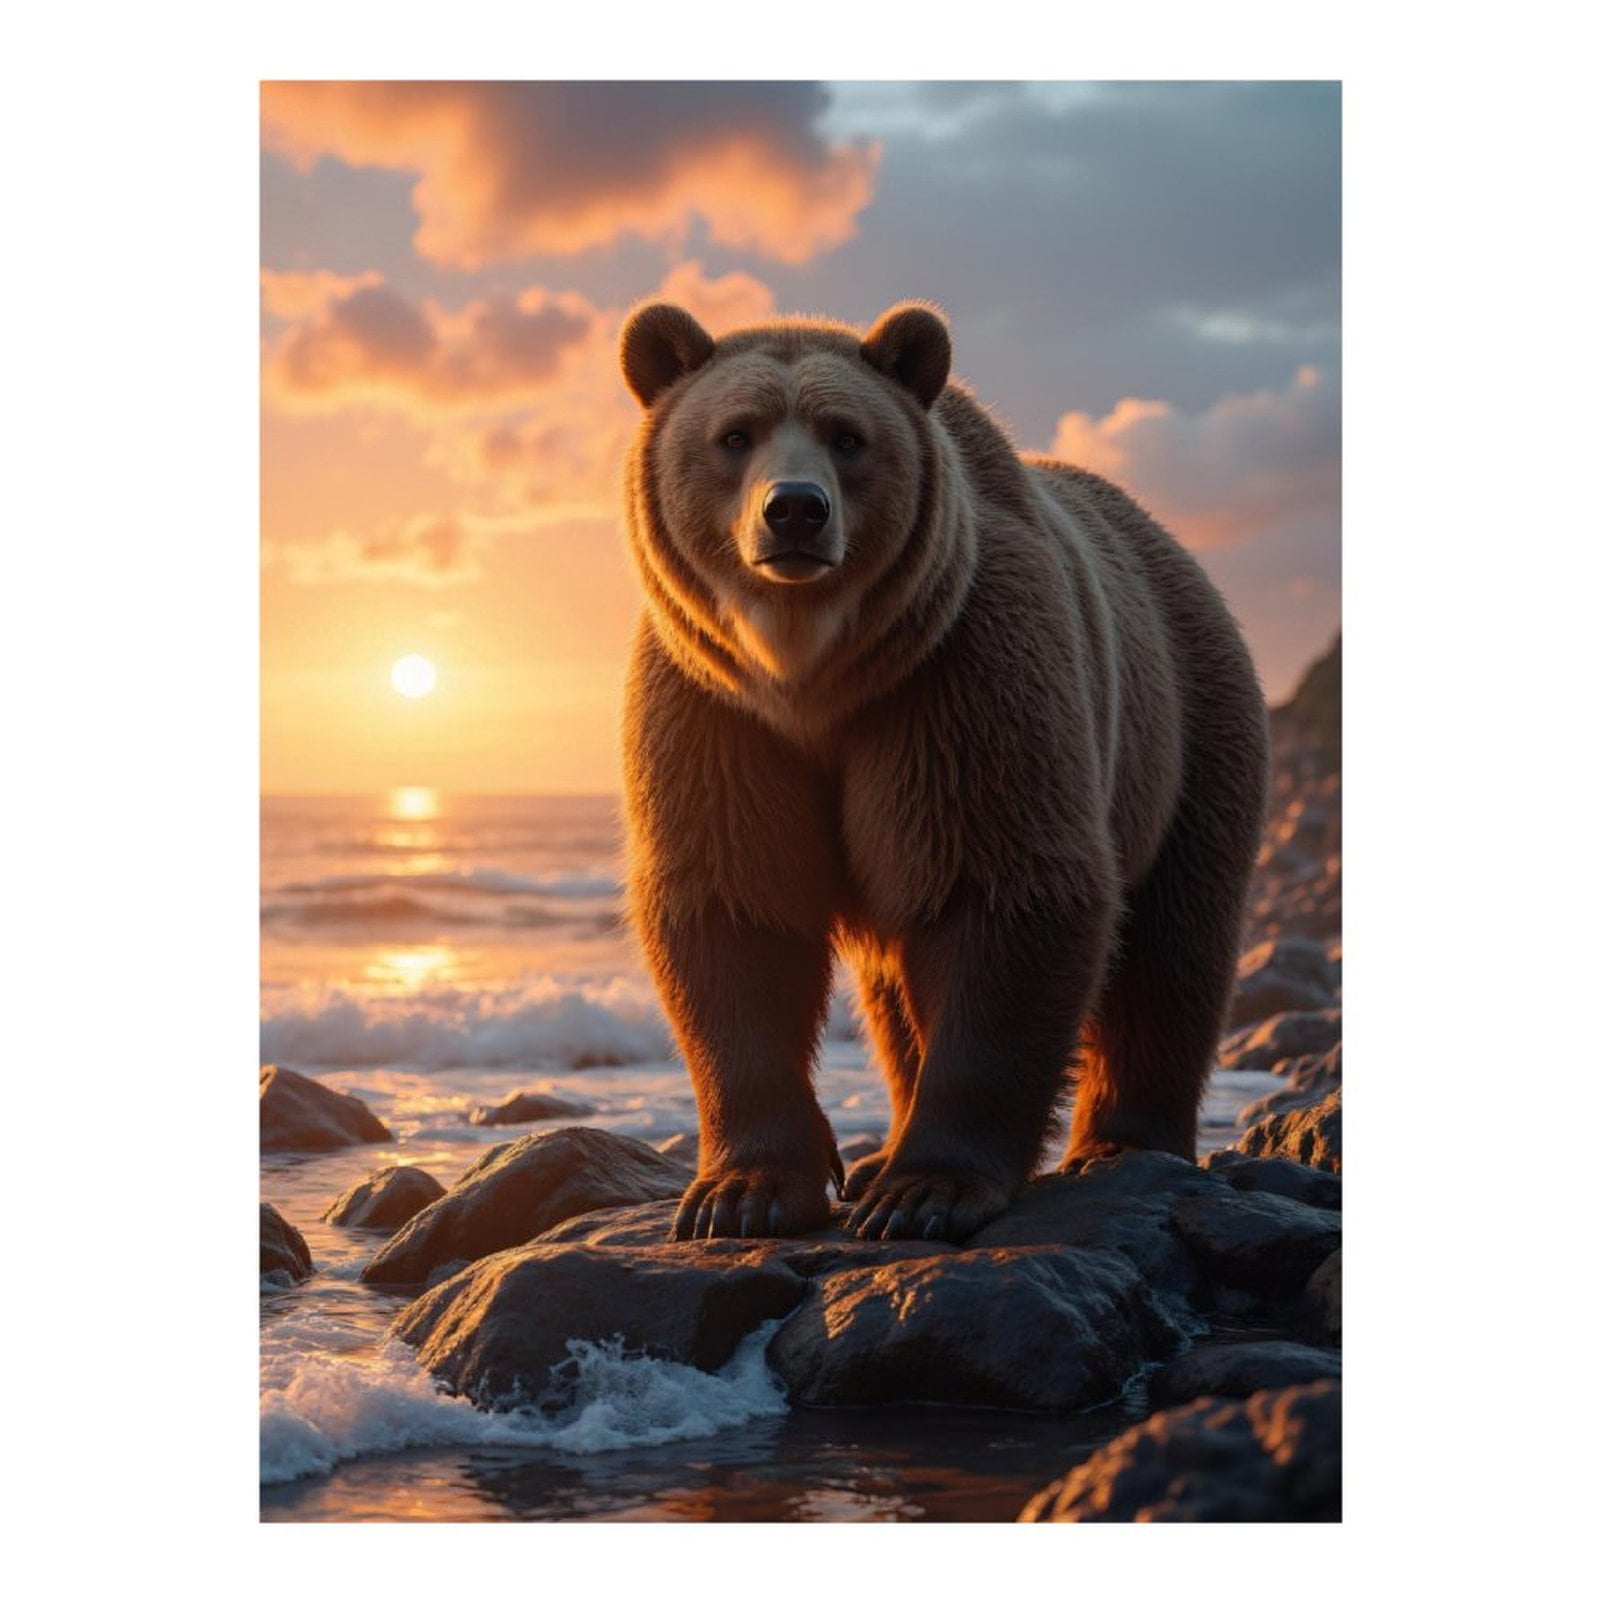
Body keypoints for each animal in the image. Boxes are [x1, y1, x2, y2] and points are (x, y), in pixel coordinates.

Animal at [618, 300, 1269, 1244]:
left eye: (847, 436)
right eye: (735, 433)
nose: (795, 511)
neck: (811, 674)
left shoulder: (960, 681)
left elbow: (1002, 892)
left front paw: (925, 1192)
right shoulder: (714, 710)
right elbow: (735, 910)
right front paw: (743, 1192)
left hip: (1188, 734)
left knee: (1172, 947)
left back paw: (1121, 1142)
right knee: (895, 988)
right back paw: (883, 1147)